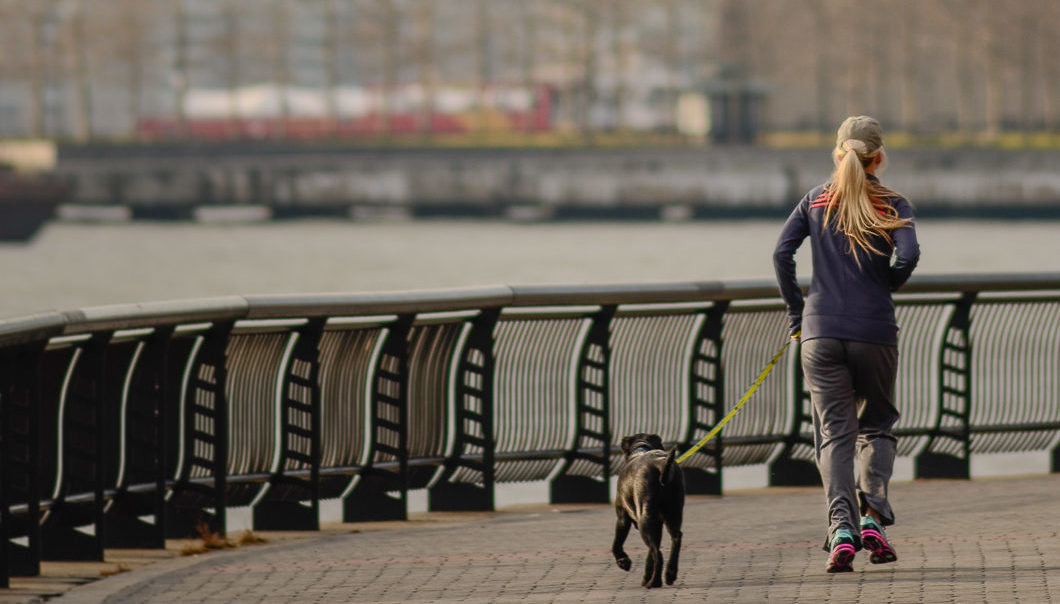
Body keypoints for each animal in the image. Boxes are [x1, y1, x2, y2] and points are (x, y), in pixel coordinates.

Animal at [614, 430, 686, 584]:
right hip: (673, 513)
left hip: (644, 519)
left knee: (657, 553)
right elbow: (650, 554)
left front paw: (623, 560)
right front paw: (647, 574)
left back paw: (655, 581)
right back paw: (669, 573)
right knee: (674, 539)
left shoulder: (622, 517)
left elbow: (617, 542)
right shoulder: (657, 523)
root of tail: (660, 464)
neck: (641, 448)